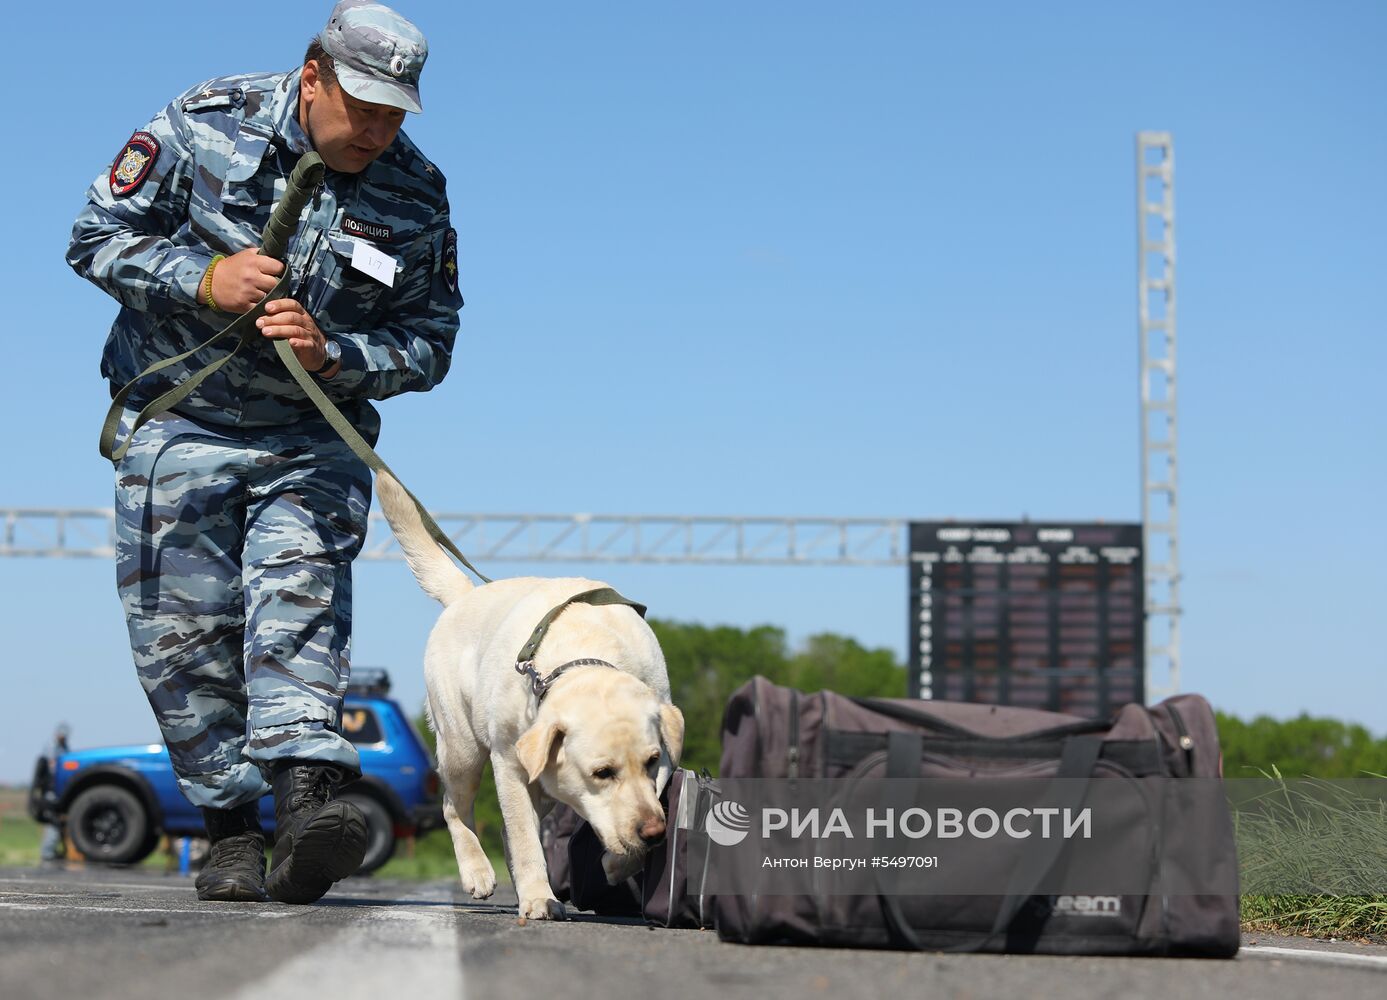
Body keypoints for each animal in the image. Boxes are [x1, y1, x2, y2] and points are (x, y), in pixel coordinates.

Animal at [377, 471, 685, 915]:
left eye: (652, 761)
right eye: (602, 773)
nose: (655, 833)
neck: (584, 654)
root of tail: (466, 594)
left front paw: (617, 864)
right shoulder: (509, 762)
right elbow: (524, 838)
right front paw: (540, 897)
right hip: (462, 750)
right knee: (455, 808)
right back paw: (477, 872)